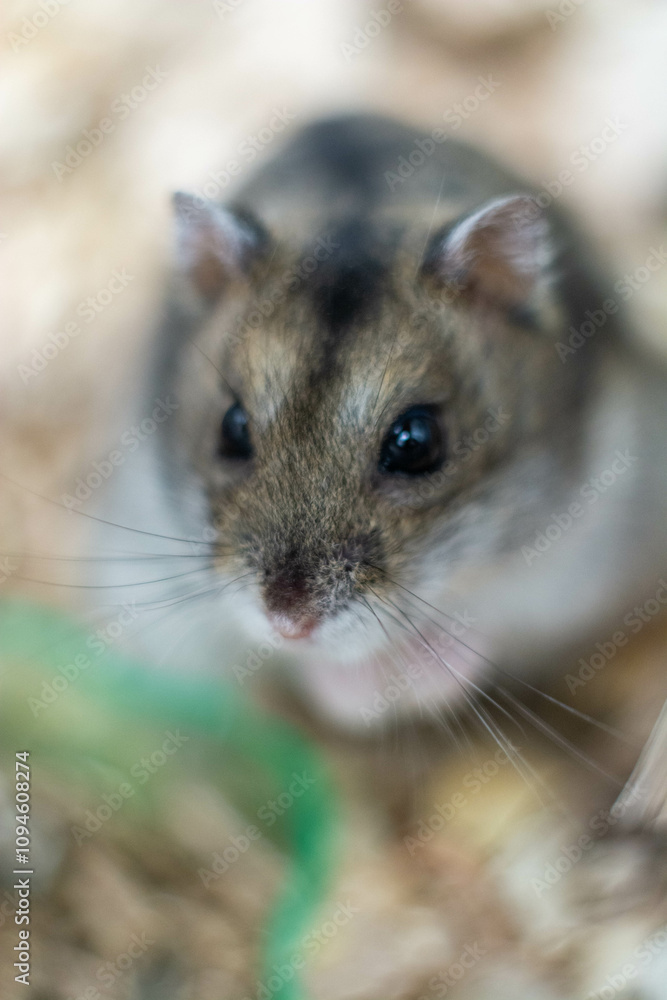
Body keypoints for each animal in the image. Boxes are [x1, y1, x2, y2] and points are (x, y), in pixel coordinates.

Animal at [96, 113, 667, 730]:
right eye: (232, 427)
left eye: (416, 442)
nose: (288, 626)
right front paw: (362, 688)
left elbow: (488, 634)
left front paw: (420, 672)